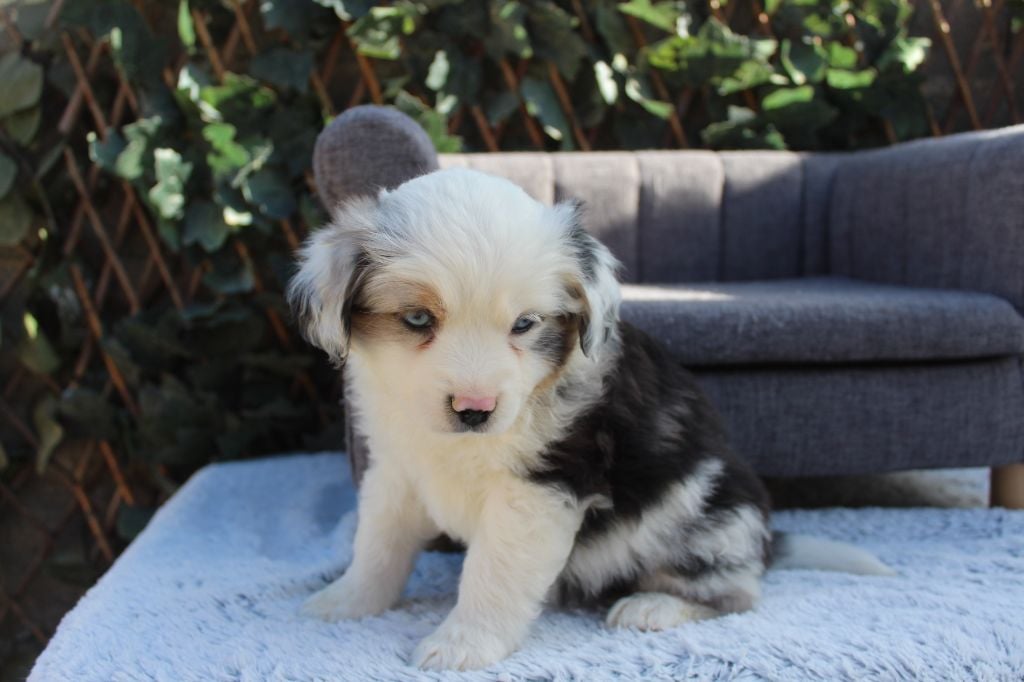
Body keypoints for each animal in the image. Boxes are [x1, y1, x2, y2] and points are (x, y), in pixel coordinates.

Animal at [287, 168, 894, 671]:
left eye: (525, 324)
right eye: (416, 319)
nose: (474, 410)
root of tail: (767, 540)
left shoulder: (541, 488)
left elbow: (492, 573)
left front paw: (462, 645)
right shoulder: (396, 469)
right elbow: (378, 545)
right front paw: (345, 602)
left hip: (708, 515)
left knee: (738, 593)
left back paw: (653, 607)